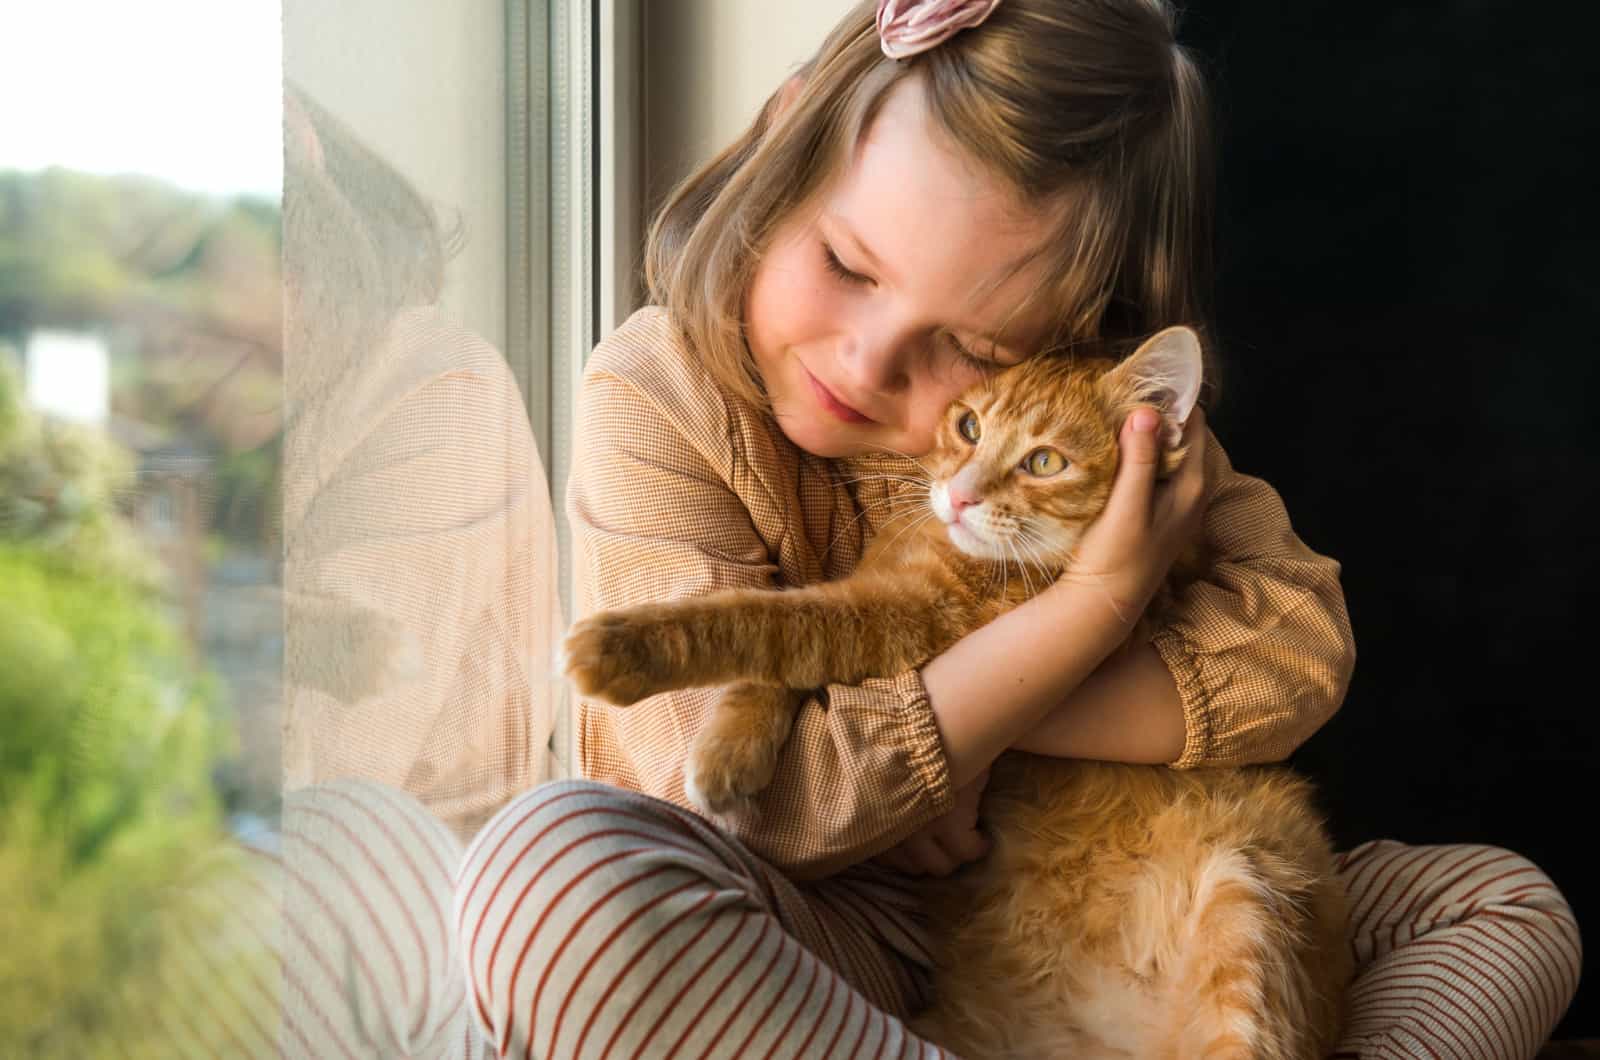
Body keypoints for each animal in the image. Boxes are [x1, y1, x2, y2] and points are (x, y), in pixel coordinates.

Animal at [563, 328, 1350, 1056]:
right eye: (969, 426)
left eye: (1044, 462)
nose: (961, 494)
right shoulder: (875, 597)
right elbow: (778, 656)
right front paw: (730, 750)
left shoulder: (900, 617)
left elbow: (768, 621)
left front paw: (619, 648)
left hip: (1246, 911)